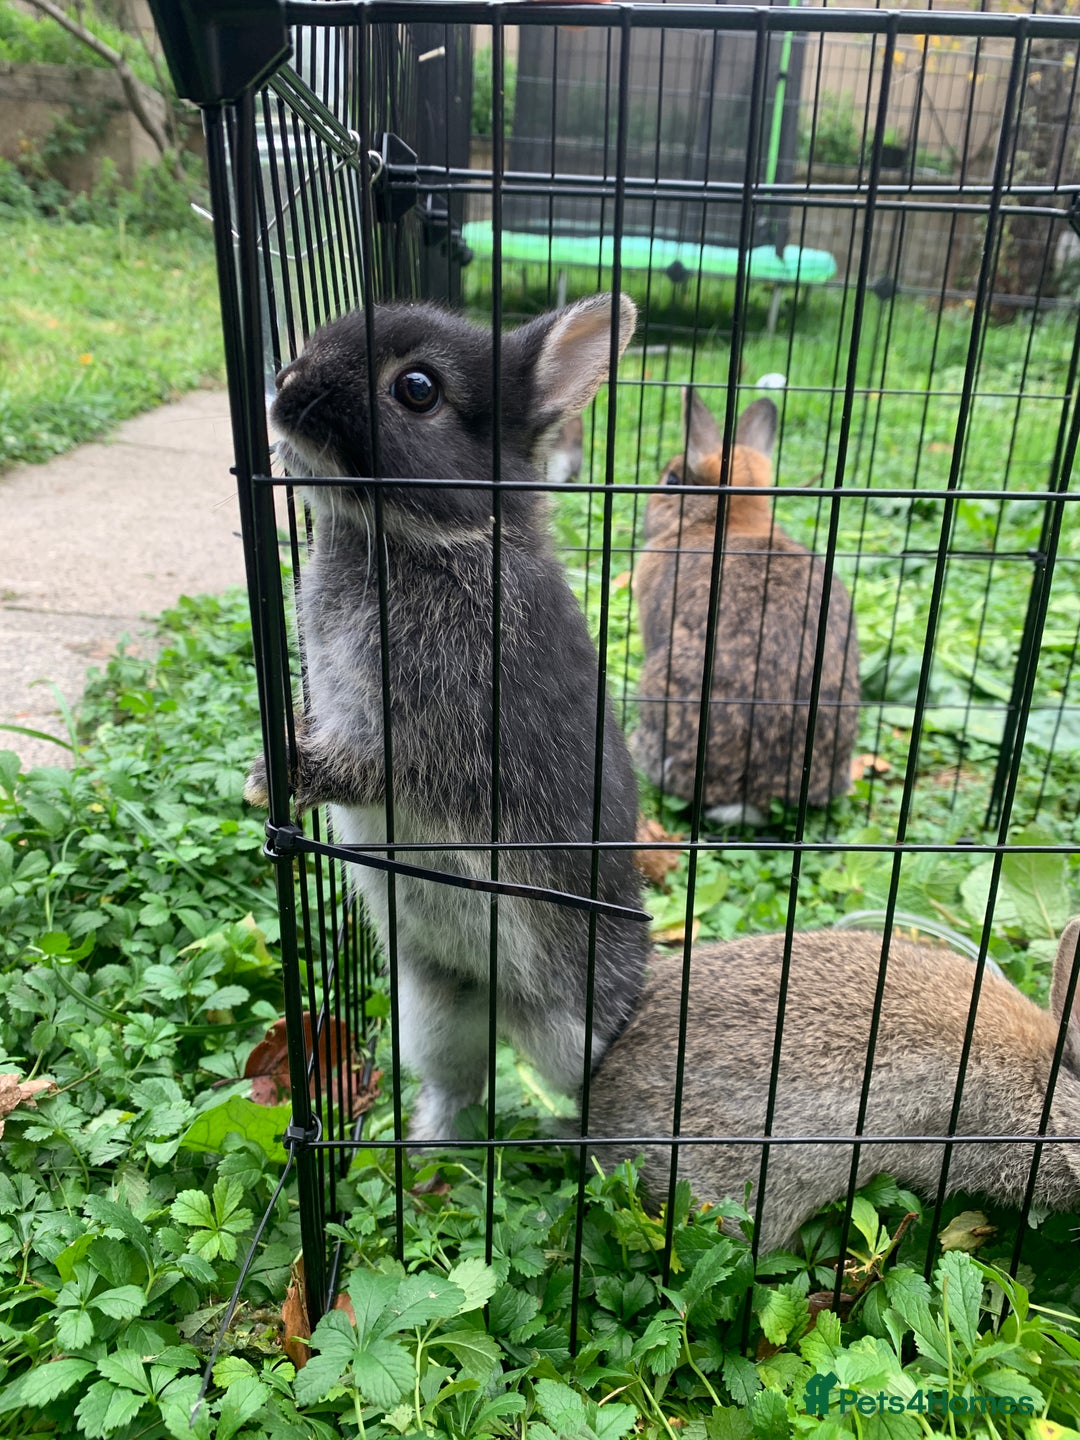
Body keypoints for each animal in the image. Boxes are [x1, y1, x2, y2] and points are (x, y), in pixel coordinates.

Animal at [245, 295, 649, 1143]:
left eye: (419, 389)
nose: (285, 386)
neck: (432, 537)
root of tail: (506, 1005)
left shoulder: (440, 732)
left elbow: (370, 769)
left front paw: (280, 775)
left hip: (573, 1021)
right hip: (433, 1002)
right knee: (457, 1083)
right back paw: (429, 1147)